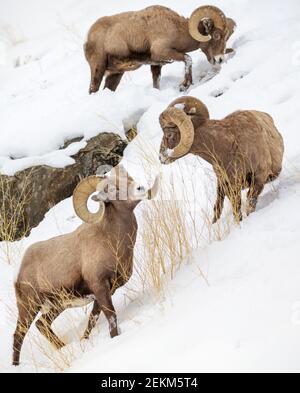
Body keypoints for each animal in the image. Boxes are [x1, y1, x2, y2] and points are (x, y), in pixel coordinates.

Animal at [11, 165, 159, 364]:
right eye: (113, 190)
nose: (140, 188)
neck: (111, 240)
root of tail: (19, 272)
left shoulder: (105, 291)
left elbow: (93, 318)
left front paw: (85, 341)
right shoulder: (100, 286)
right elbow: (111, 315)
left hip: (57, 305)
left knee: (42, 325)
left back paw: (64, 347)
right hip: (28, 308)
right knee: (18, 335)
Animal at [85, 5, 237, 92]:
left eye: (226, 36)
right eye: (216, 35)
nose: (220, 59)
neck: (177, 28)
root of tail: (88, 37)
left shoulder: (156, 65)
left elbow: (156, 84)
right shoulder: (161, 52)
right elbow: (188, 58)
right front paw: (184, 85)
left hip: (116, 74)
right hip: (98, 69)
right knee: (93, 89)